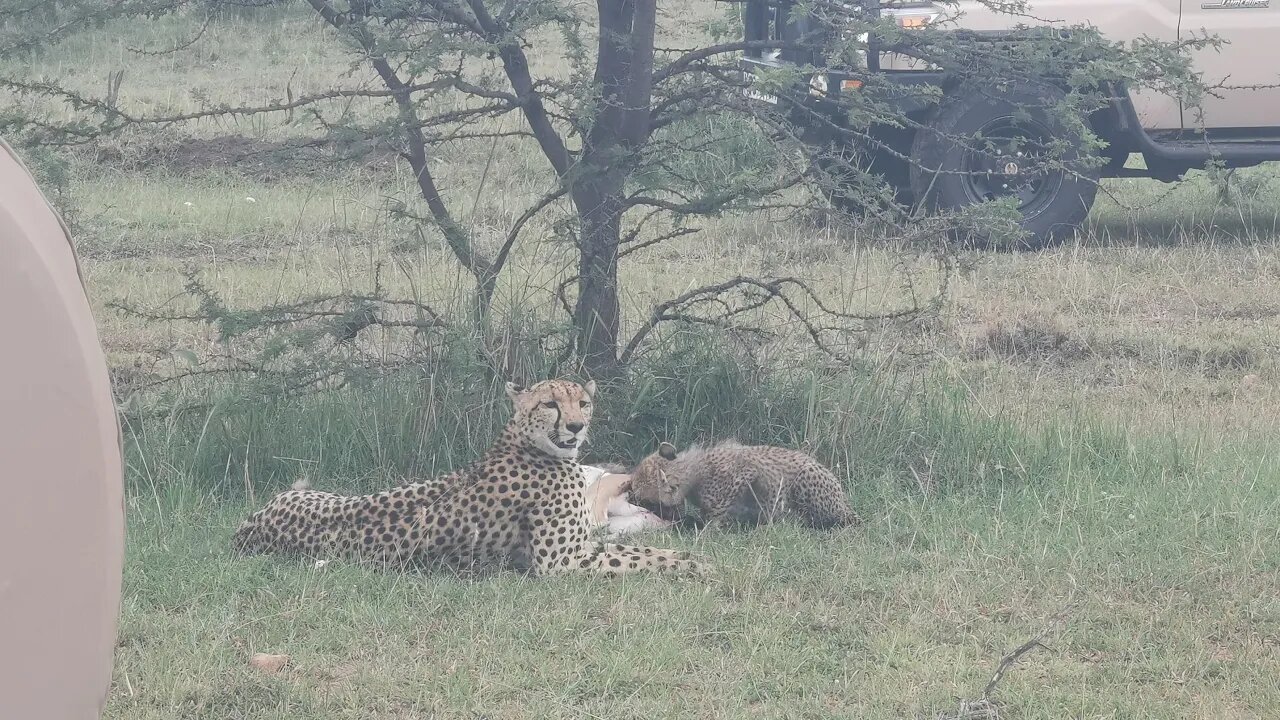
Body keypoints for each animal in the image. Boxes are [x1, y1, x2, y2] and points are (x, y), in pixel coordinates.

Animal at [235, 379, 706, 573]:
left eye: (583, 402)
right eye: (551, 404)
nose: (575, 426)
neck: (525, 442)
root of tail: (252, 524)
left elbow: (634, 539)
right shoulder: (563, 560)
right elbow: (643, 555)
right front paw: (694, 562)